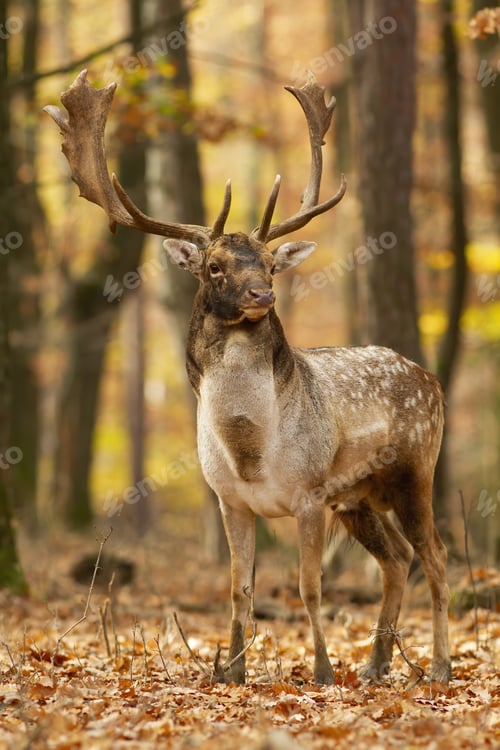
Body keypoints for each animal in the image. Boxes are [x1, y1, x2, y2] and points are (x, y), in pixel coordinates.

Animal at [45, 70, 451, 687]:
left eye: (268, 263)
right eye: (215, 266)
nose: (263, 295)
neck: (251, 451)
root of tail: (432, 381)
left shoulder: (309, 494)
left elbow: (310, 587)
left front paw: (322, 671)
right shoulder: (229, 500)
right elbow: (239, 589)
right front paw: (231, 671)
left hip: (413, 469)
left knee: (436, 558)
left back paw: (441, 667)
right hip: (358, 498)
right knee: (399, 559)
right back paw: (378, 664)